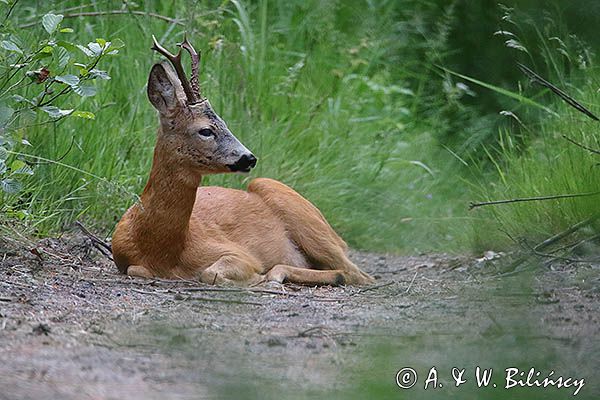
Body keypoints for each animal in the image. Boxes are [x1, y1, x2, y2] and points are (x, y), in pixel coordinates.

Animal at [110, 33, 372, 284]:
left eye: (225, 123)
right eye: (206, 130)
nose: (249, 158)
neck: (161, 250)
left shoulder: (238, 253)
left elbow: (210, 273)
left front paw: (256, 277)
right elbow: (136, 269)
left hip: (294, 209)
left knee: (357, 274)